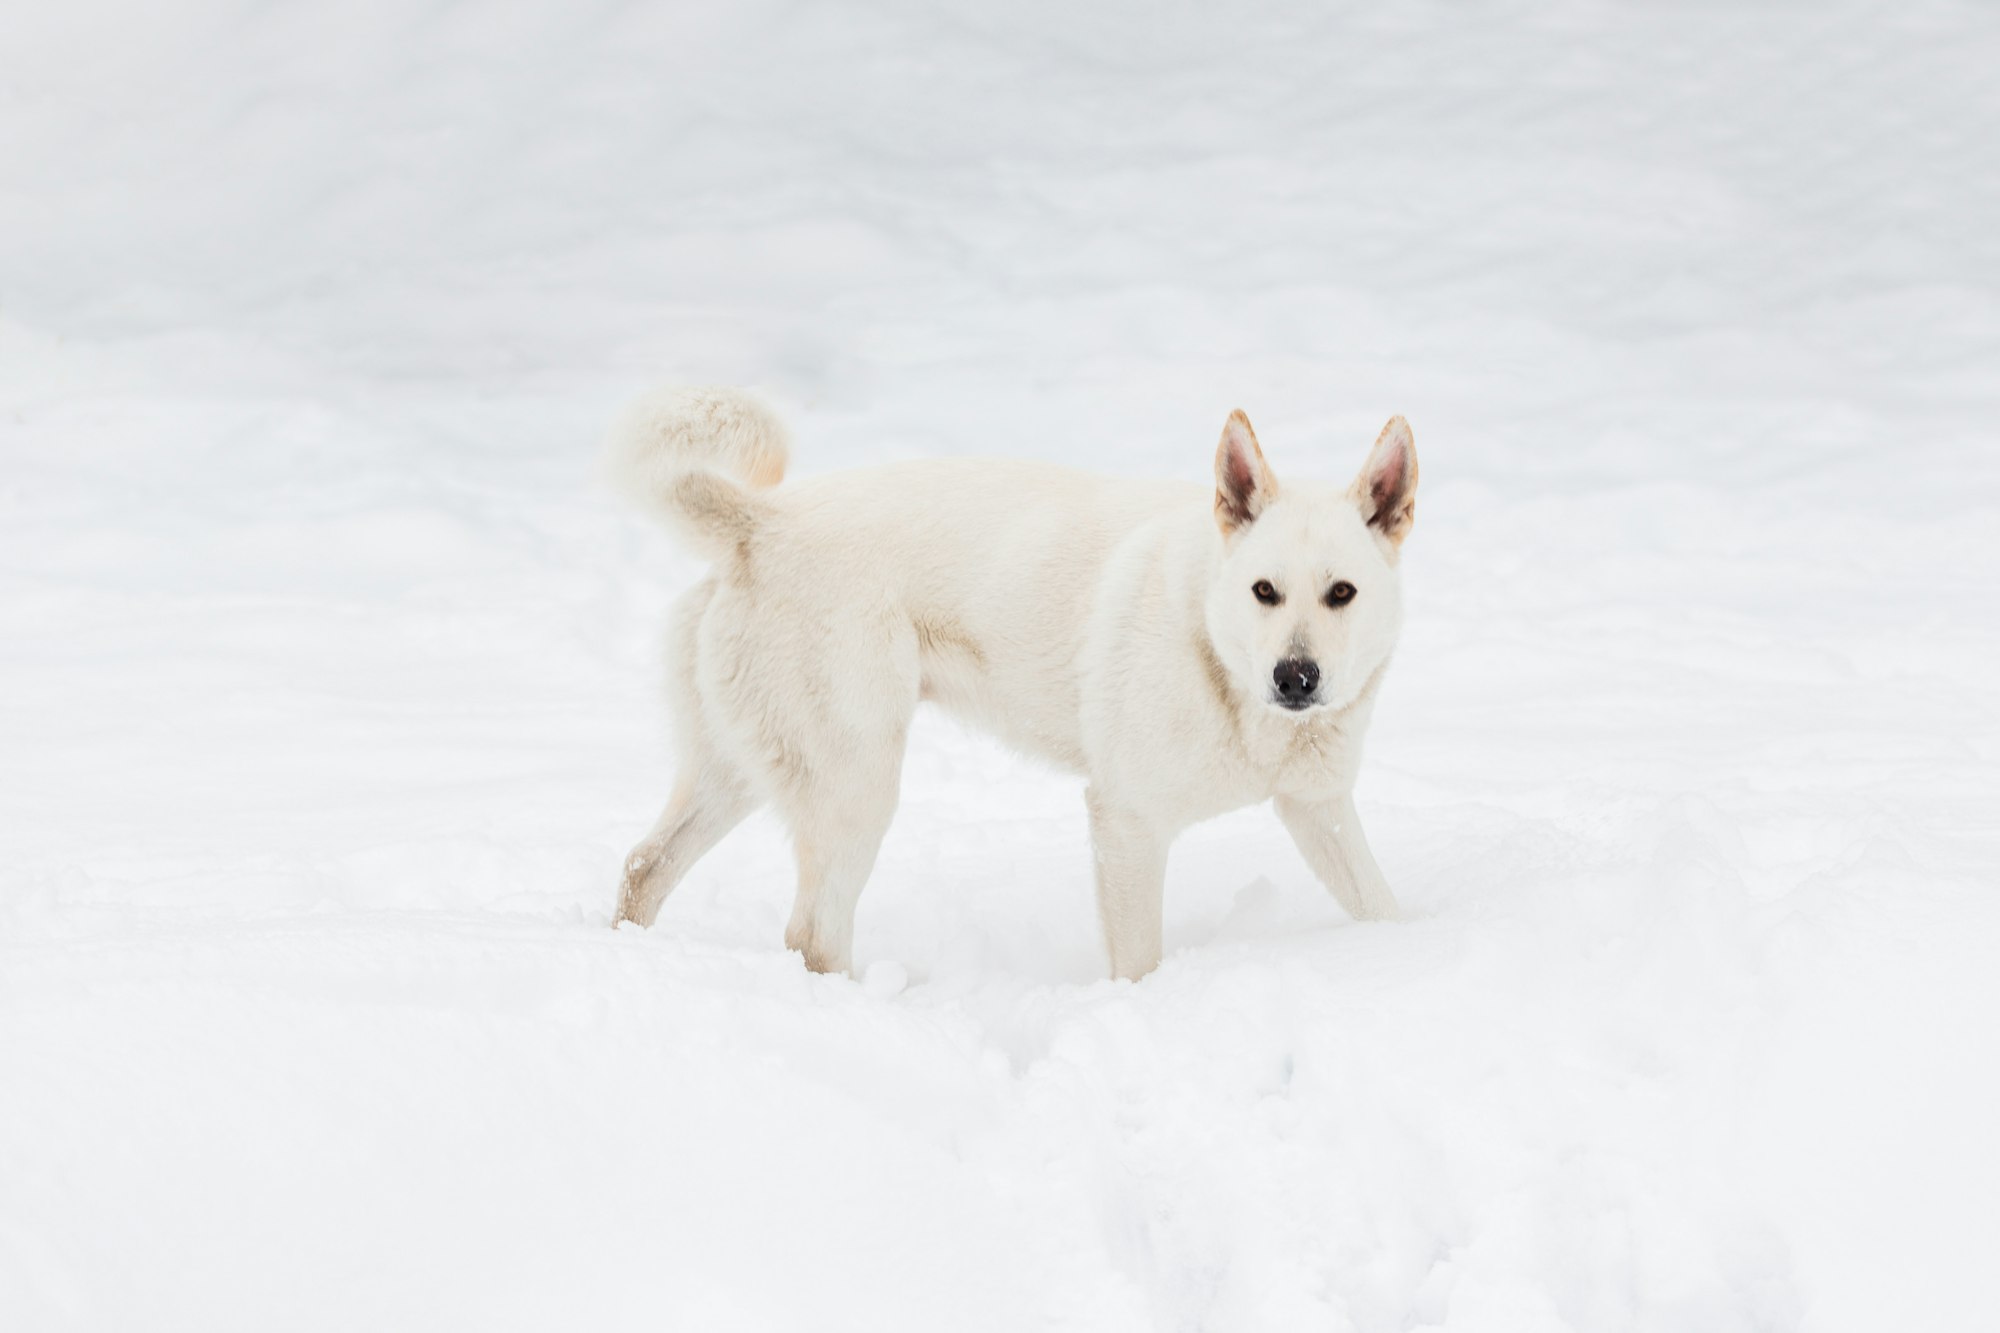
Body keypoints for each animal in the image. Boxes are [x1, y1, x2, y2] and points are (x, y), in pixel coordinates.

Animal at [616, 384, 1416, 976]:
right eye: (1264, 591)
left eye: (1341, 592)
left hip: (744, 769)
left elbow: (1382, 906)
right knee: (810, 935)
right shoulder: (1126, 824)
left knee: (644, 865)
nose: (1296, 677)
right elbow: (1138, 966)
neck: (1218, 653)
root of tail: (760, 521)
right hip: (855, 787)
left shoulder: (1318, 810)